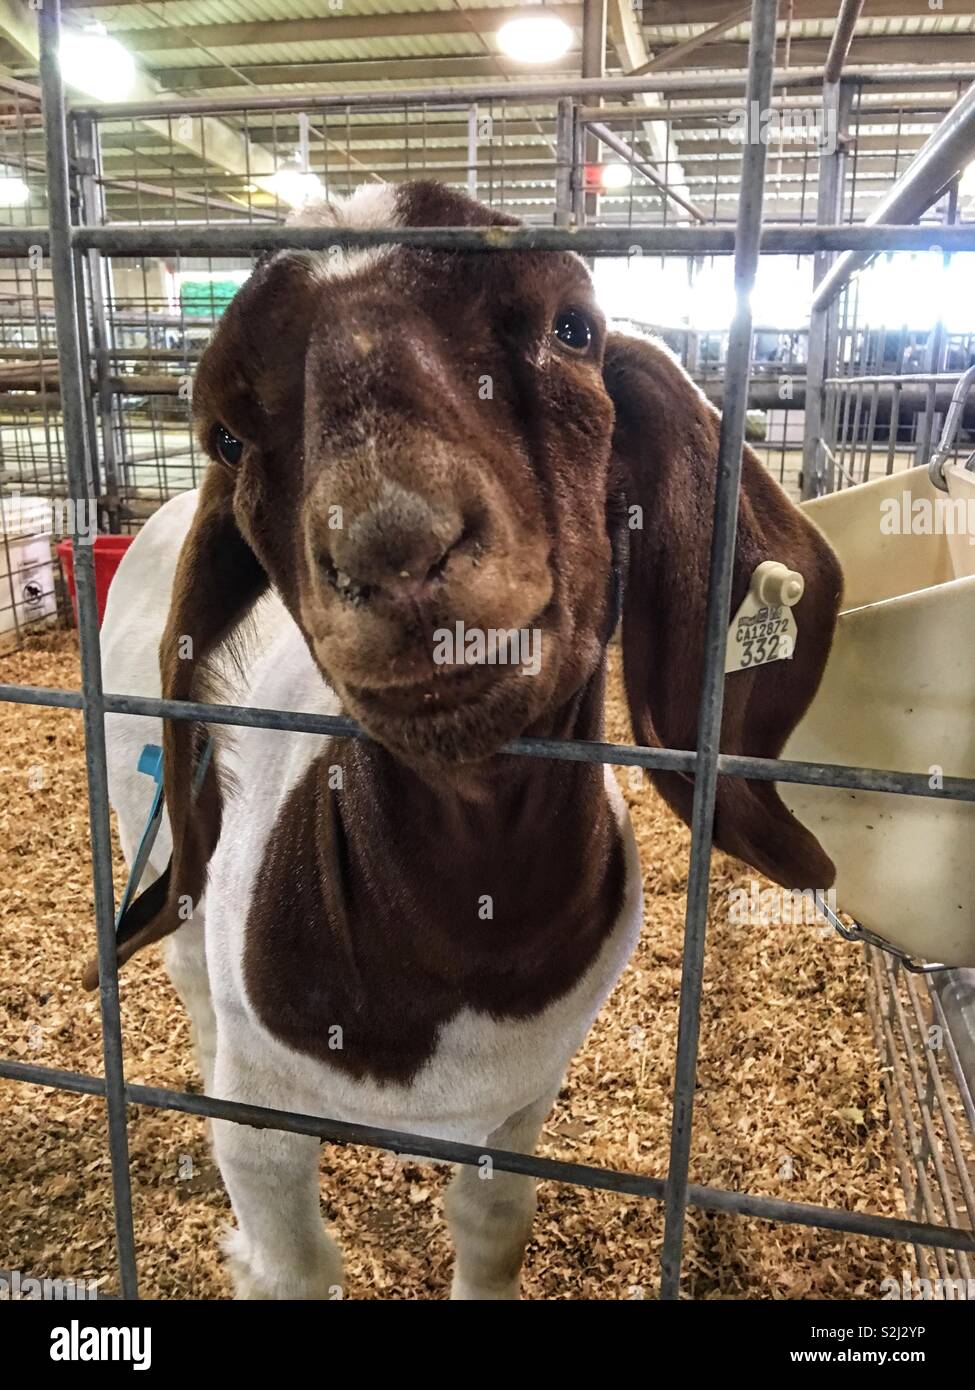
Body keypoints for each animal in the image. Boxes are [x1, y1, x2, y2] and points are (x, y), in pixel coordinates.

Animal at [98, 180, 843, 1300]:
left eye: (573, 330)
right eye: (227, 435)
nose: (391, 543)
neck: (465, 927)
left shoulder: (519, 1108)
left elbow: (494, 1229)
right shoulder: (263, 1124)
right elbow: (295, 1261)